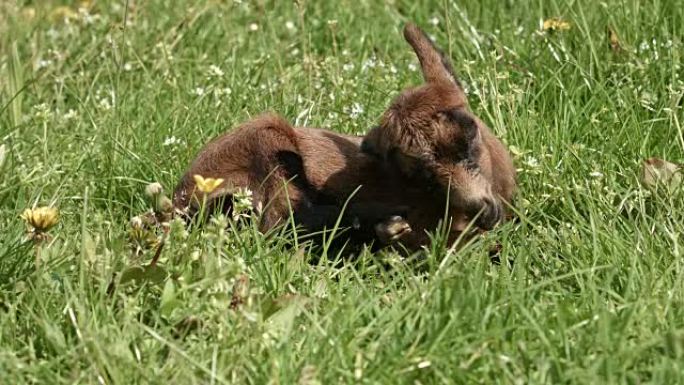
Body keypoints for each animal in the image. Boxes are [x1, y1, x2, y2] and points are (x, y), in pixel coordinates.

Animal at [174, 24, 516, 252]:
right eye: (424, 174)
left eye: (469, 134)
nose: (483, 212)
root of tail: (181, 200)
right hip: (268, 142)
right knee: (278, 226)